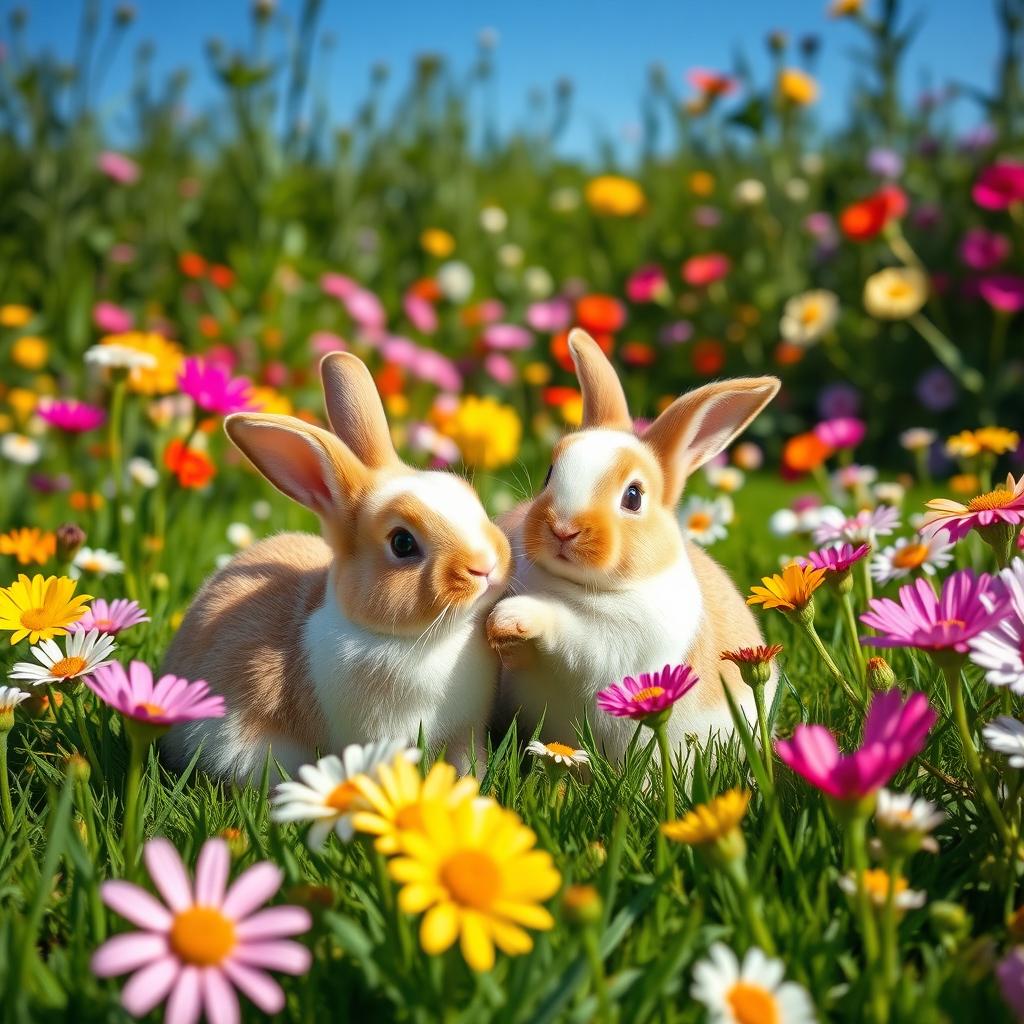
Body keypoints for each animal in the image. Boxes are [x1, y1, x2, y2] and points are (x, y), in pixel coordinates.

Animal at [487, 328, 780, 764]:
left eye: (633, 497)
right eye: (550, 473)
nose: (562, 529)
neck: (577, 585)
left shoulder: (614, 648)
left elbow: (569, 631)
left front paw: (510, 618)